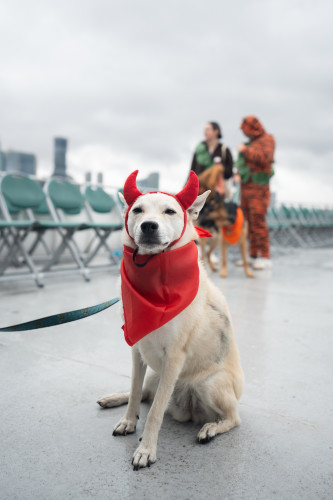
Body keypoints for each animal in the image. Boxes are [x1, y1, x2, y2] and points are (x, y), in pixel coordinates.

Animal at [97, 171, 243, 468]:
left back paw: (210, 428)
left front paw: (146, 450)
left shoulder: (174, 358)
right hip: (155, 375)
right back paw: (113, 399)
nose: (148, 226)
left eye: (170, 211)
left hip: (207, 385)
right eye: (138, 210)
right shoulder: (137, 350)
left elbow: (154, 412)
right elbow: (134, 391)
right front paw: (128, 422)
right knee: (143, 393)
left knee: (233, 418)